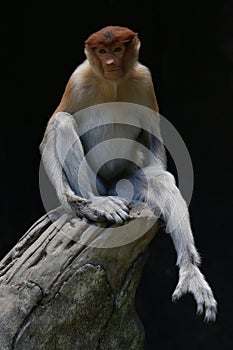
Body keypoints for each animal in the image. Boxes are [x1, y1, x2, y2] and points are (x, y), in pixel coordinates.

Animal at [40, 23, 217, 320]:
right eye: (102, 51)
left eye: (117, 49)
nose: (111, 63)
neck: (113, 85)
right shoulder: (77, 80)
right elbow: (50, 133)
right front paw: (72, 203)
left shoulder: (144, 80)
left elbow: (153, 136)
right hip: (98, 183)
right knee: (64, 122)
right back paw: (99, 203)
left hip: (124, 182)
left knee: (160, 180)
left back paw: (190, 271)